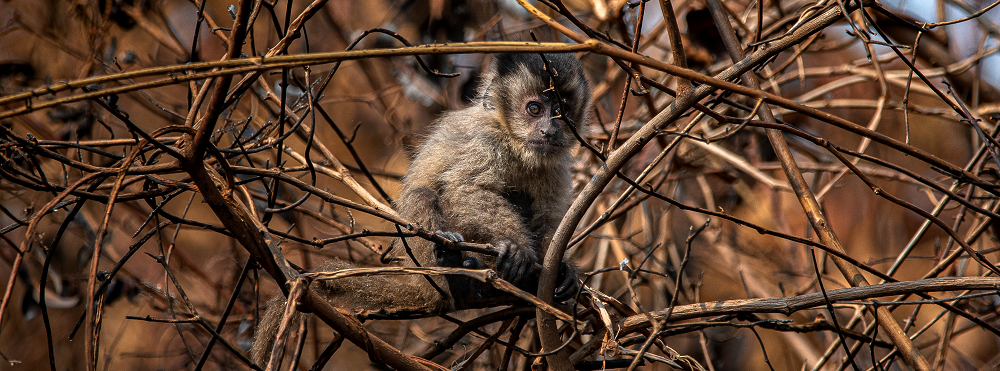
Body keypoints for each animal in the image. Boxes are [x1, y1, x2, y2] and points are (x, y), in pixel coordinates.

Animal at [252, 52, 592, 366]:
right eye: (534, 109)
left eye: (560, 113)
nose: (549, 130)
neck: (513, 141)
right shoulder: (487, 140)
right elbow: (464, 190)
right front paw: (518, 247)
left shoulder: (554, 165)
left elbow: (548, 217)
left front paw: (562, 270)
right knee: (422, 195)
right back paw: (457, 280)